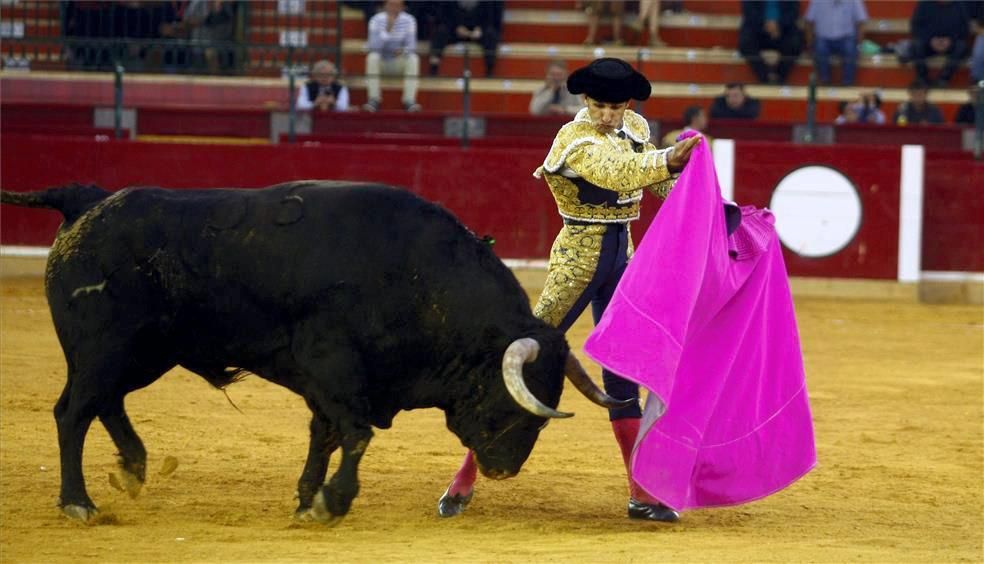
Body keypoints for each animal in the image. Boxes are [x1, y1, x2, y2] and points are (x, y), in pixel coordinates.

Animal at [0, 183, 632, 524]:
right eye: (512, 403)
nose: (504, 469)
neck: (415, 278)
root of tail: (89, 201)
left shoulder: (326, 381)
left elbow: (324, 434)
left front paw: (307, 498)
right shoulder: (335, 367)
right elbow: (353, 433)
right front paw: (331, 502)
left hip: (144, 354)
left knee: (104, 403)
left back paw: (132, 468)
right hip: (105, 349)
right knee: (72, 412)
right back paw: (78, 501)